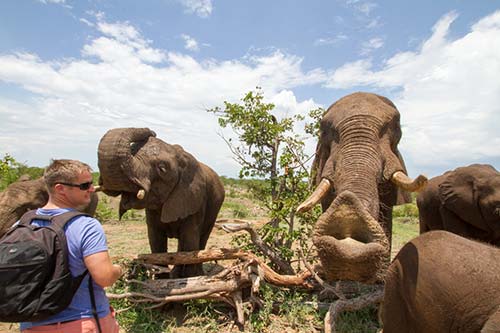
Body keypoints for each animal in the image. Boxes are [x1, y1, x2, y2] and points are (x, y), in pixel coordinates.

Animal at [96, 127, 225, 278]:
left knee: (201, 239)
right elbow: (156, 241)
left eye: (162, 168)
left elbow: (190, 241)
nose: (151, 132)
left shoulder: (195, 200)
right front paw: (162, 279)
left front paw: (190, 278)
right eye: (132, 150)